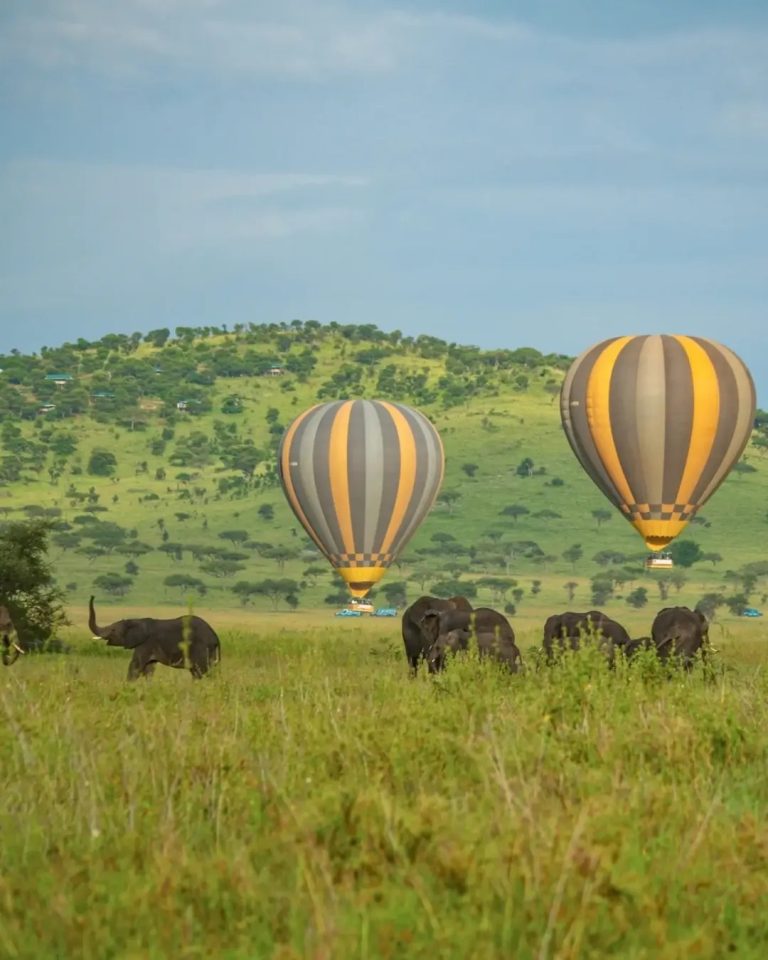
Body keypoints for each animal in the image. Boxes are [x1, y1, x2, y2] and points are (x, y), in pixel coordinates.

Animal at [89, 596, 221, 680]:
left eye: (113, 630)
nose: (92, 596)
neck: (136, 621)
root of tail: (215, 637)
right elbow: (149, 669)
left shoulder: (145, 644)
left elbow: (135, 667)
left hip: (201, 649)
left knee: (201, 671)